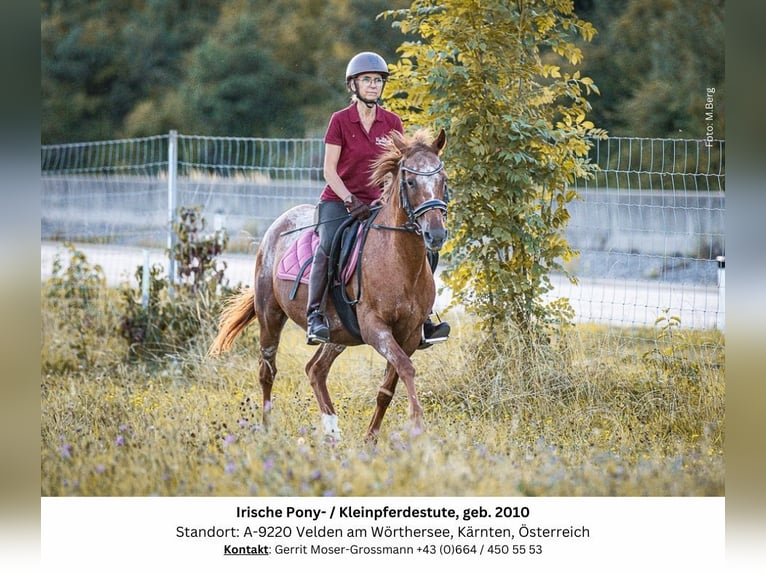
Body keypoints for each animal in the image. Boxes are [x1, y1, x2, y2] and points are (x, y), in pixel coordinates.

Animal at [208, 129, 450, 446]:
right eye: (410, 181)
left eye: (443, 179)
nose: (435, 234)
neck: (399, 262)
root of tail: (276, 227)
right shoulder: (375, 329)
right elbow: (406, 369)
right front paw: (417, 425)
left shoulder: (409, 334)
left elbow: (388, 387)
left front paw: (370, 439)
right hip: (270, 317)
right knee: (267, 371)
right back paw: (268, 429)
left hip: (338, 333)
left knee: (315, 370)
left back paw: (332, 431)